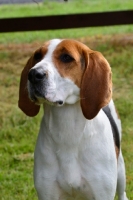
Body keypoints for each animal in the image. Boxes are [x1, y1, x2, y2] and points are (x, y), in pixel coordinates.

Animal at [17, 38, 128, 199]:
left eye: (66, 57)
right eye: (37, 56)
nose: (33, 74)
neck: (67, 127)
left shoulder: (102, 193)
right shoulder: (47, 193)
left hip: (120, 169)